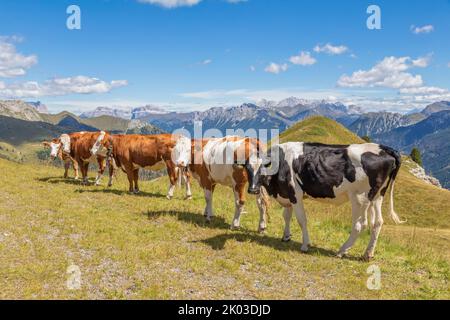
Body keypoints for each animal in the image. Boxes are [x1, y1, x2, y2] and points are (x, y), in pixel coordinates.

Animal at [250, 142, 404, 260]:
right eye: (248, 169)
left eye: (263, 169)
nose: (252, 190)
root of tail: (384, 148)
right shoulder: (287, 193)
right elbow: (286, 216)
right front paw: (286, 237)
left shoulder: (295, 194)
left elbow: (301, 220)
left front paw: (305, 245)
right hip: (377, 196)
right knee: (377, 222)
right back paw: (368, 254)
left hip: (359, 197)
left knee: (360, 224)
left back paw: (342, 250)